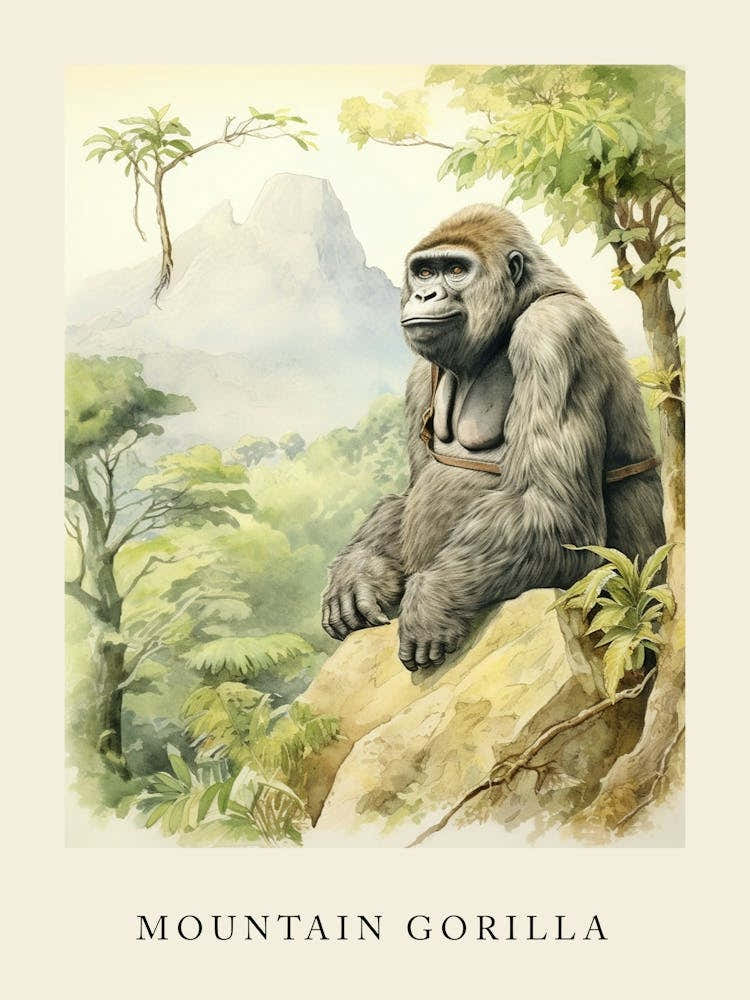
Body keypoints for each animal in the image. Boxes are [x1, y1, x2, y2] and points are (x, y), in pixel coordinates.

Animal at [321, 204, 664, 671]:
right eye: (424, 272)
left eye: (455, 270)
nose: (424, 296)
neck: (516, 308)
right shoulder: (419, 376)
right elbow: (408, 497)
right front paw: (360, 570)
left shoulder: (554, 334)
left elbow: (553, 508)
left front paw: (433, 599)